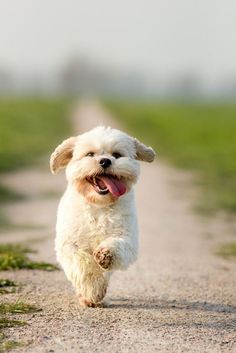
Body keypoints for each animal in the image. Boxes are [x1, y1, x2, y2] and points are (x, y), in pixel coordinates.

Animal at [50, 126, 155, 306]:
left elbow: (118, 246)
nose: (105, 161)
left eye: (117, 155)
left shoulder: (128, 239)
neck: (98, 205)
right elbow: (83, 263)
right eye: (90, 154)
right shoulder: (69, 244)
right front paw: (93, 289)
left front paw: (106, 254)